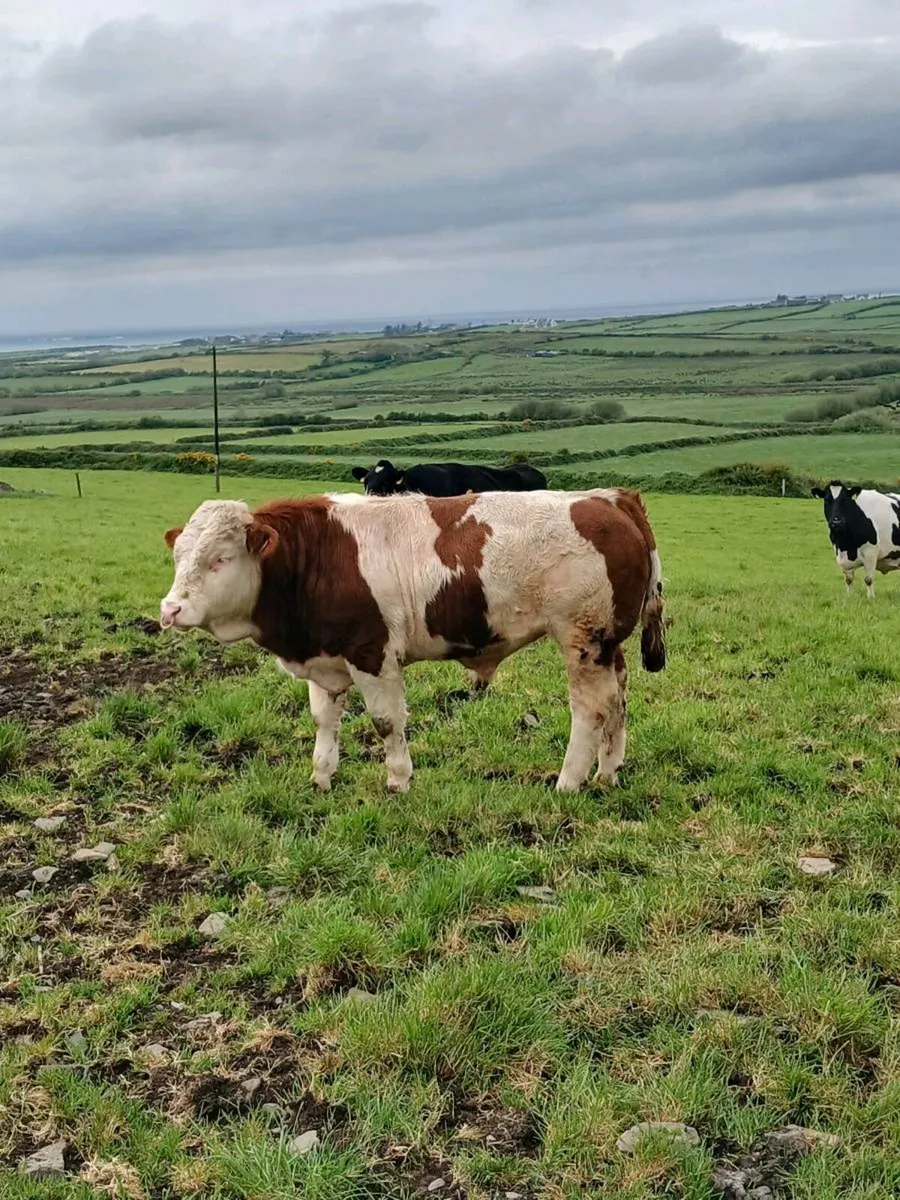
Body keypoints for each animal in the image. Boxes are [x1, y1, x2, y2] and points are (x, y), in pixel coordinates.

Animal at [159, 487, 665, 794]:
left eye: (220, 559)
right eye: (180, 556)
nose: (170, 610)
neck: (317, 557)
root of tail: (607, 498)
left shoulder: (373, 655)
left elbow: (386, 723)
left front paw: (398, 781)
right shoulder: (324, 660)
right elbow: (324, 721)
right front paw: (321, 776)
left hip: (583, 640)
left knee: (591, 709)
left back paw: (568, 780)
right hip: (607, 645)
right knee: (617, 698)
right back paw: (607, 771)